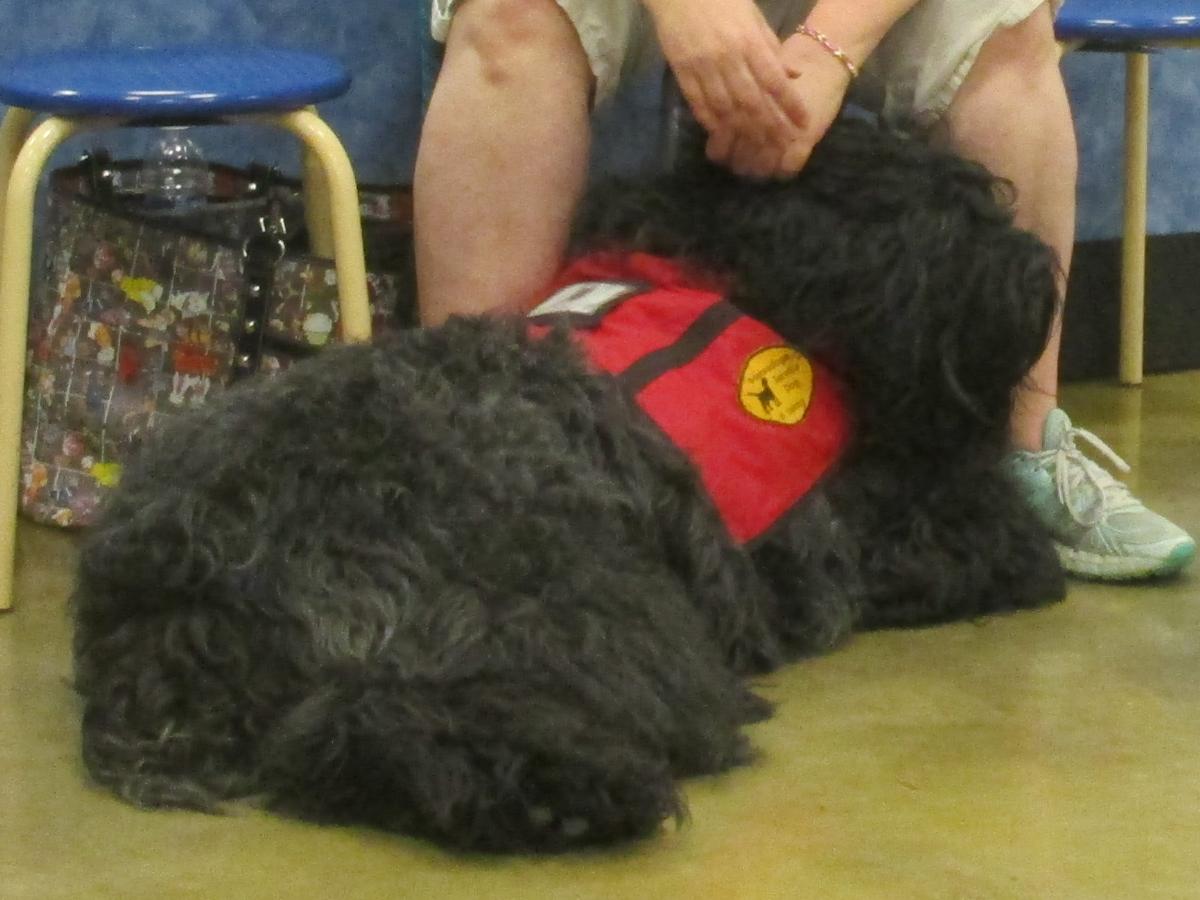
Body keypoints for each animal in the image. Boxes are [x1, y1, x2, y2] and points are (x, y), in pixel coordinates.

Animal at [71, 118, 1066, 853]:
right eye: (948, 204)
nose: (1039, 271)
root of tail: (172, 596)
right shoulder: (824, 539)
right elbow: (972, 530)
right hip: (576, 595)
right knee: (394, 721)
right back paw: (567, 791)